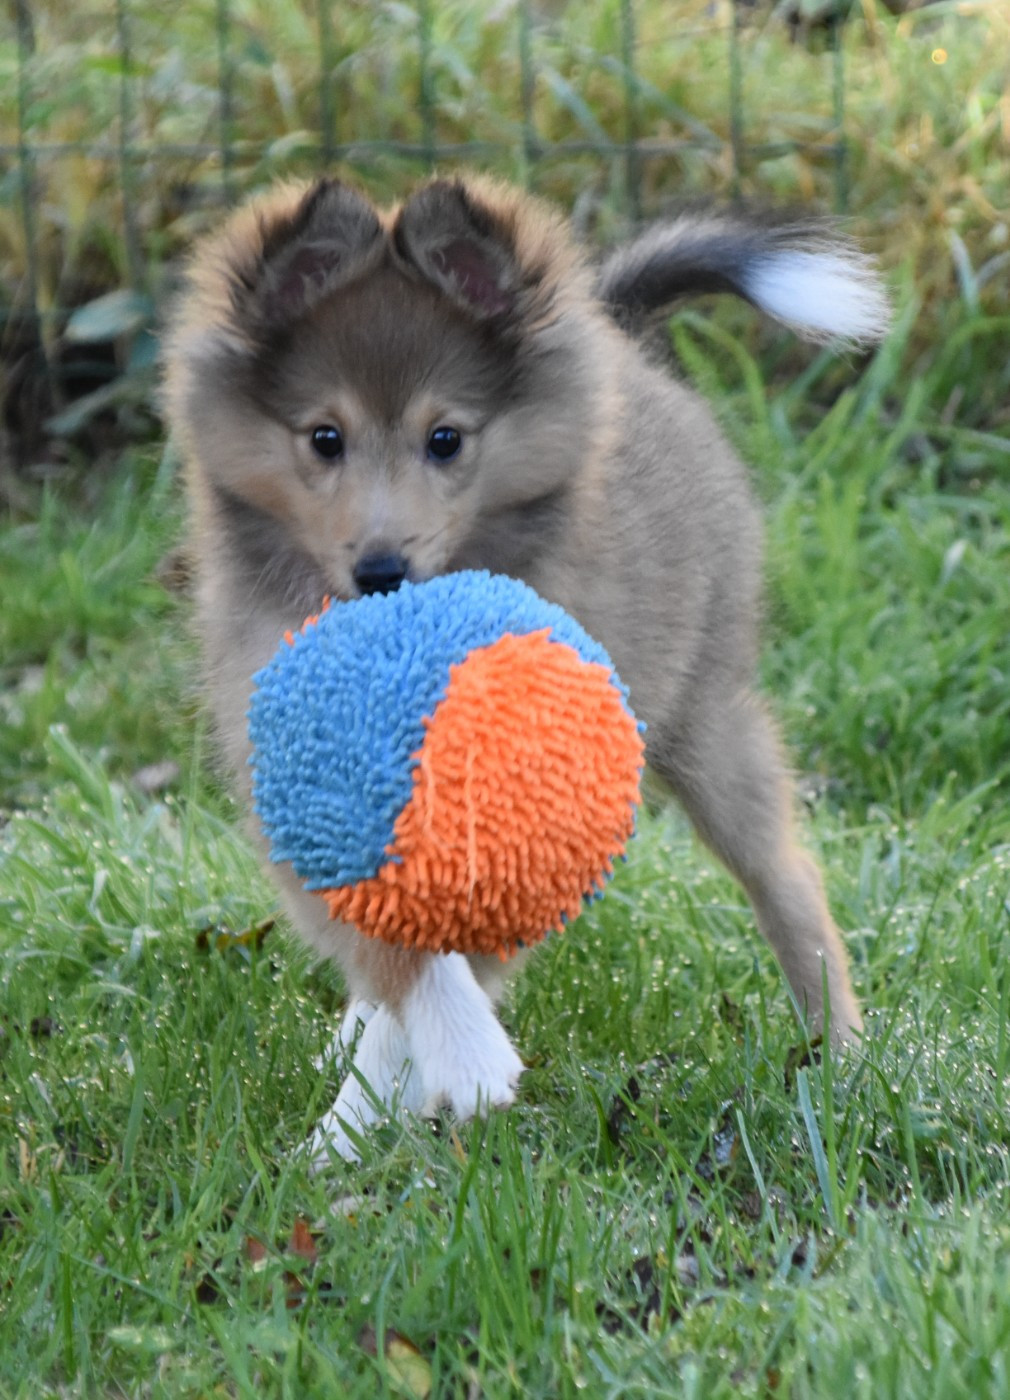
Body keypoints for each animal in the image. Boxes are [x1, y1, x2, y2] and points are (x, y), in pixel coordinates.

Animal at [163, 174, 888, 1162]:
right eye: (323, 438)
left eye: (445, 439)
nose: (381, 569)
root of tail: (624, 338)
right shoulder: (303, 786)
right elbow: (392, 951)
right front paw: (371, 1110)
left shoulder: (543, 802)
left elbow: (455, 955)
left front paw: (404, 1093)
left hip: (709, 721)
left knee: (788, 882)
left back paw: (841, 1055)